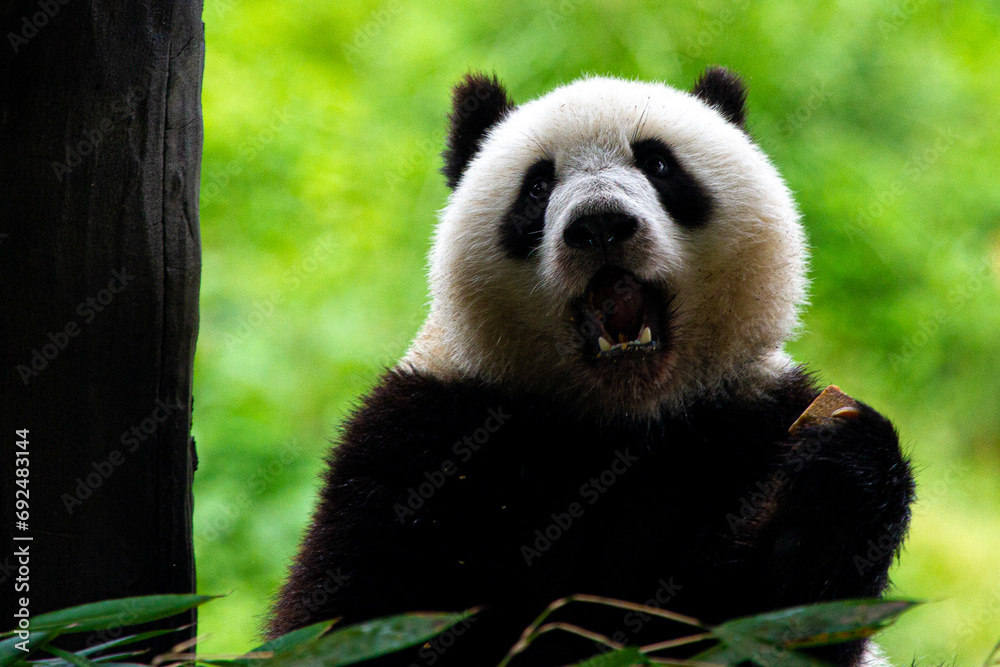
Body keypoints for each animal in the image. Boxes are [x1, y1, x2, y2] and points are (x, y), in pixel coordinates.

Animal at [267, 67, 915, 667]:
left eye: (658, 163)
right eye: (537, 185)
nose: (600, 223)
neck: (620, 418)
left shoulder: (747, 417)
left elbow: (778, 617)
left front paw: (837, 473)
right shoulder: (424, 439)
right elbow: (356, 614)